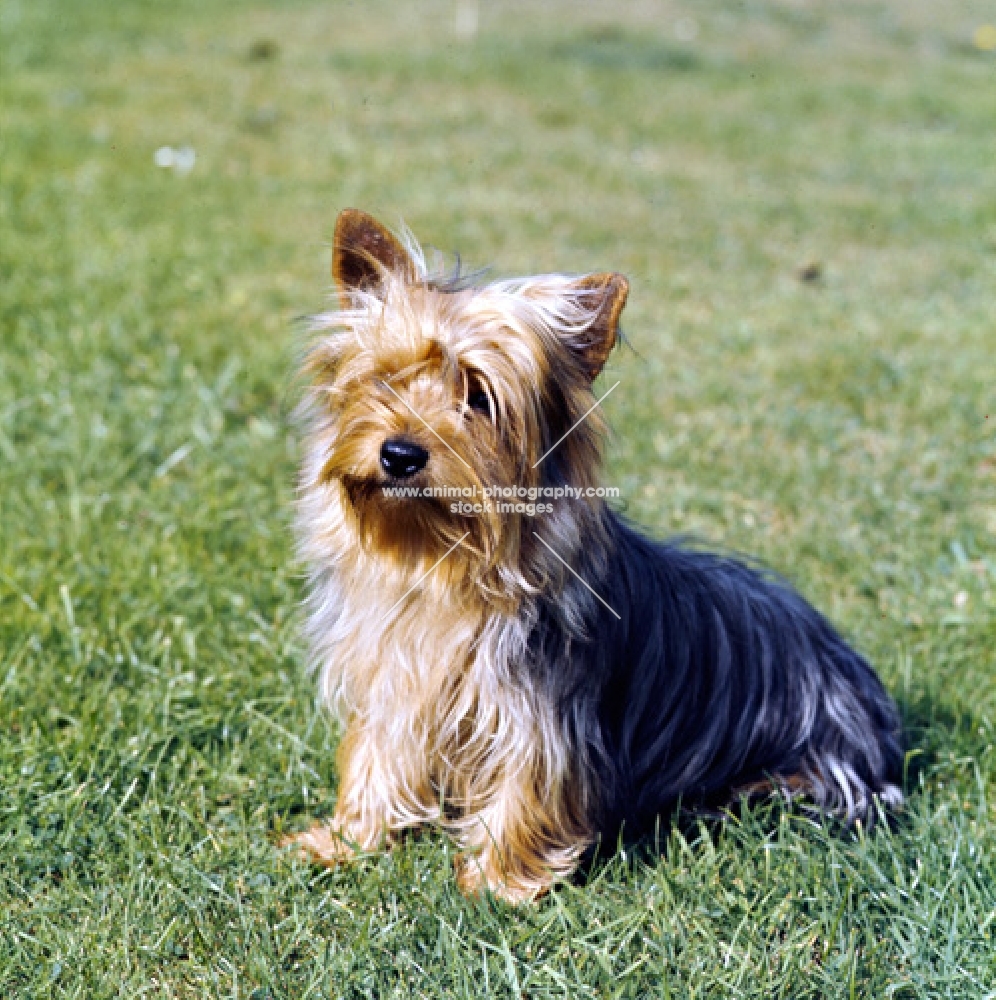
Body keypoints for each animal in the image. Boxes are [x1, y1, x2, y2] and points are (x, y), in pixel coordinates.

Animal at [286, 207, 904, 904]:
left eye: (479, 397)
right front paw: (346, 840)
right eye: (384, 379)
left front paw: (498, 884)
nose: (399, 454)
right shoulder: (396, 676)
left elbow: (528, 780)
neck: (446, 561)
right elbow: (377, 755)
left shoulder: (542, 711)